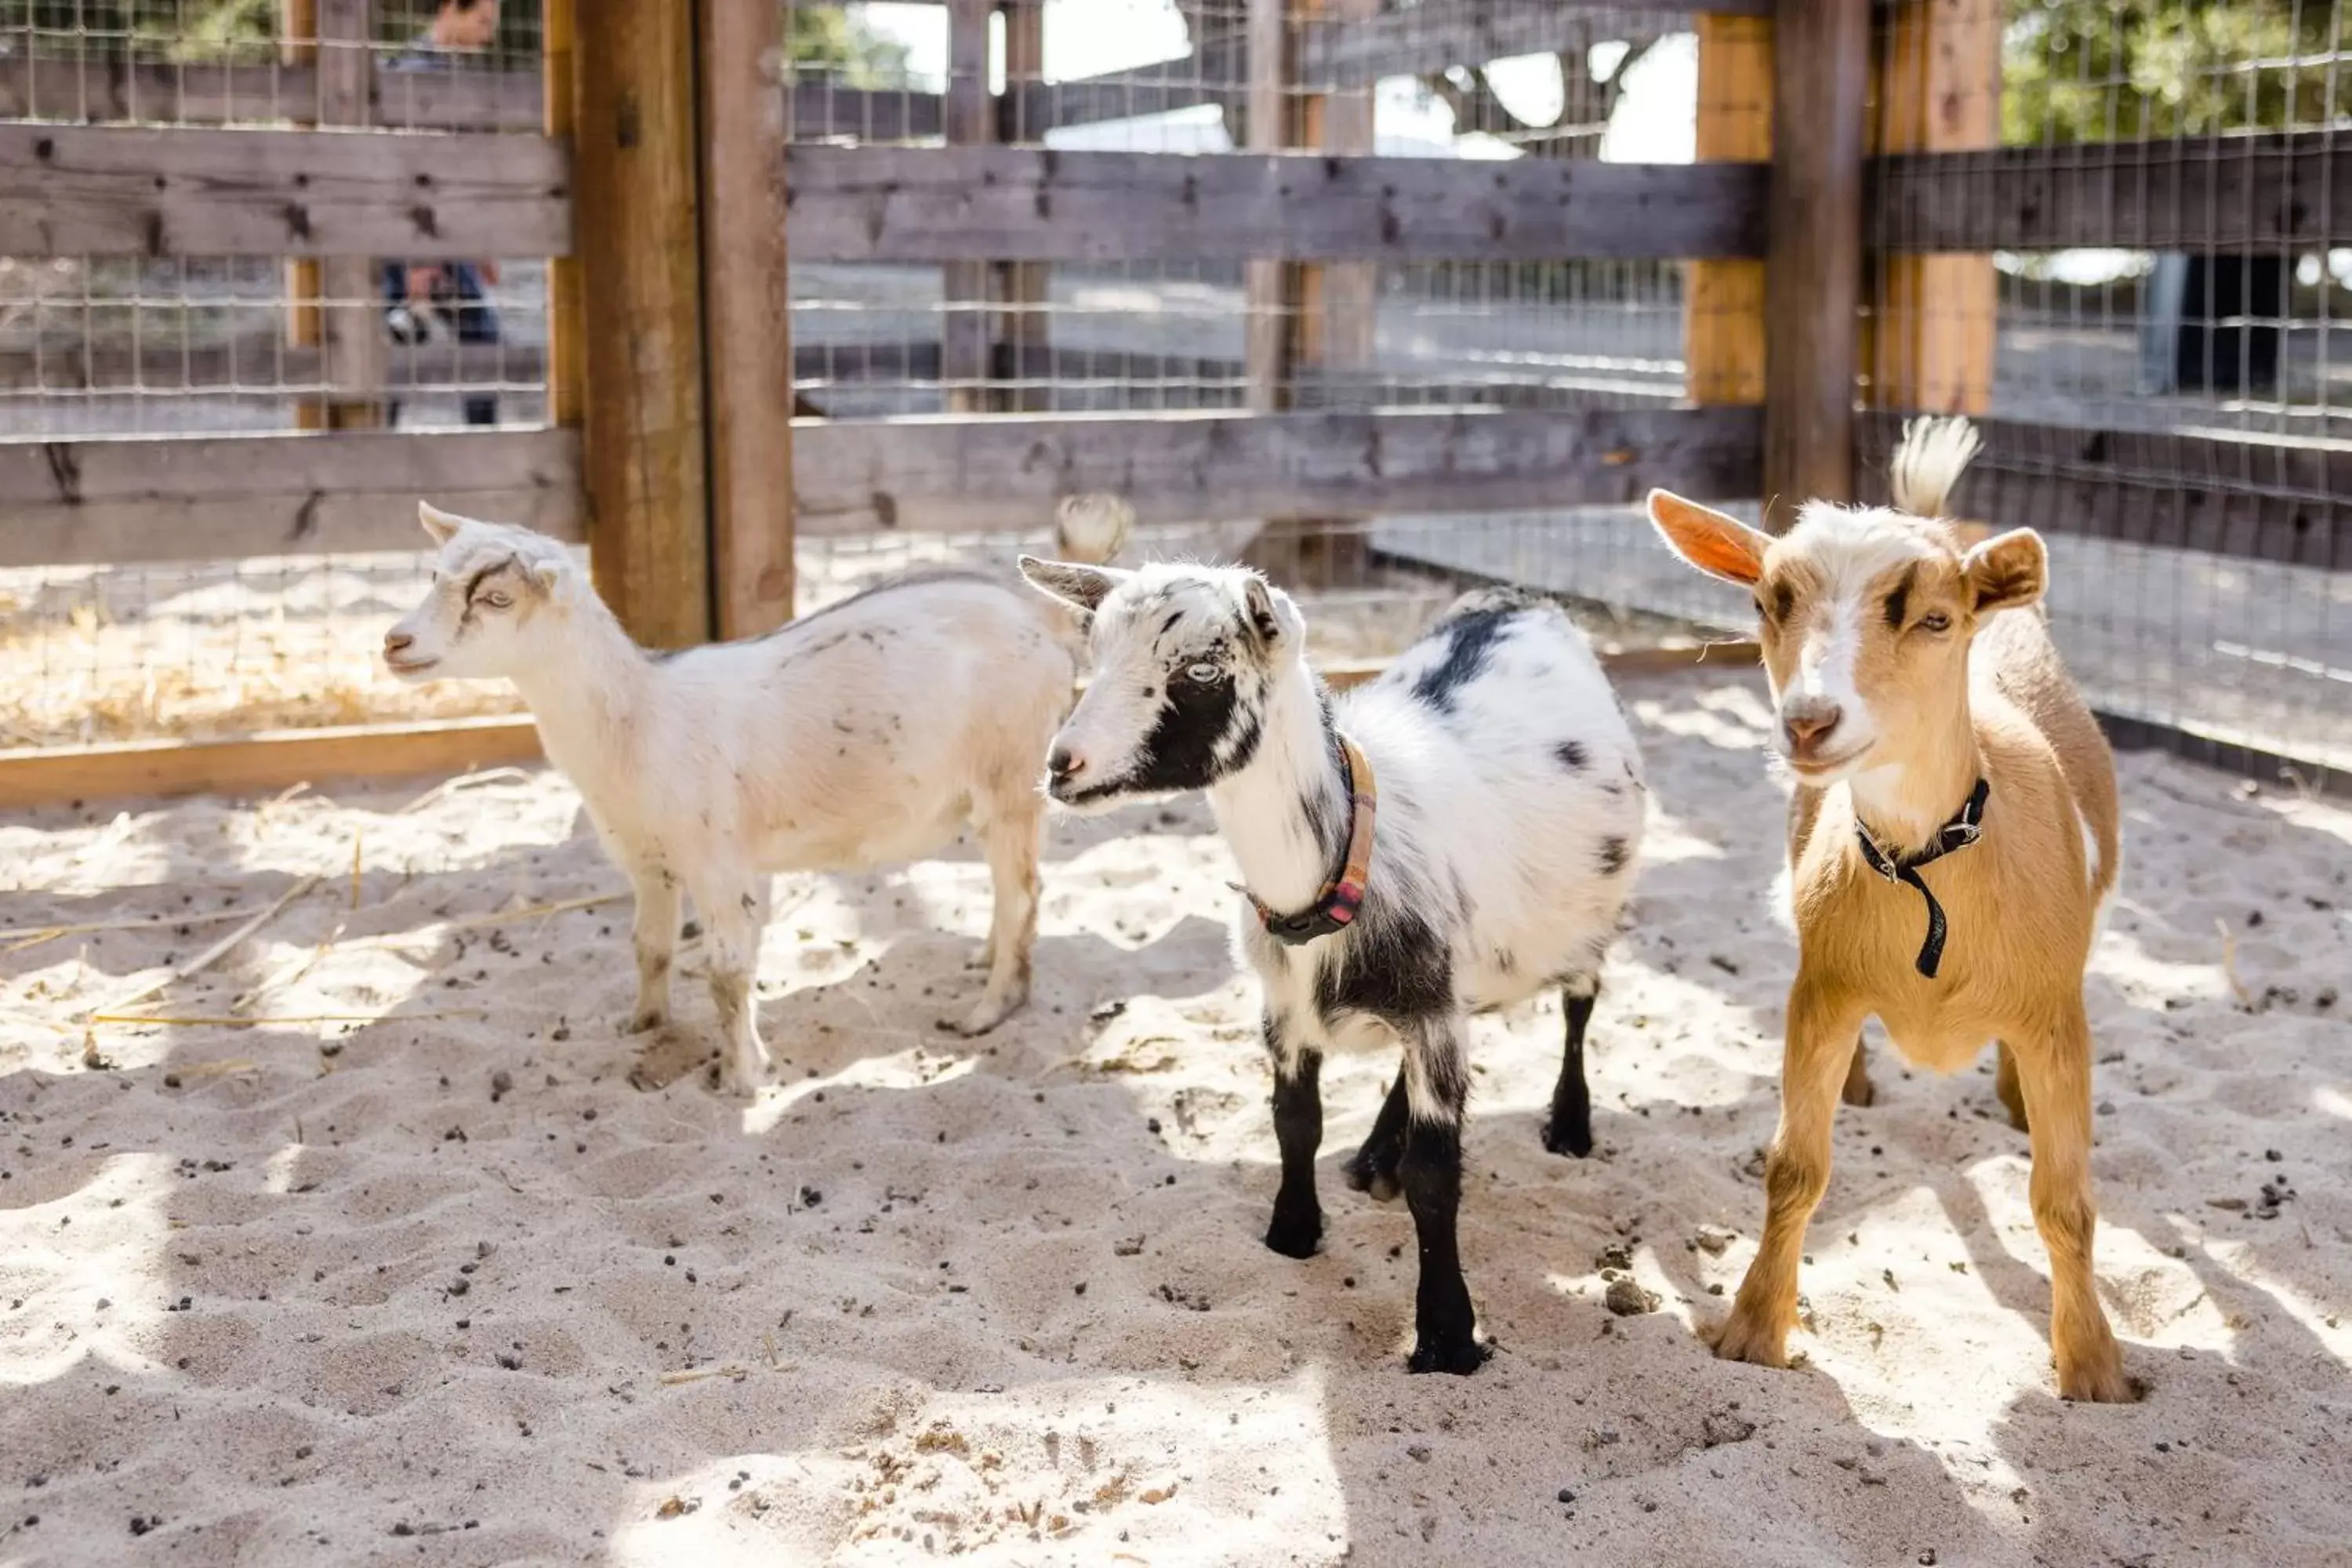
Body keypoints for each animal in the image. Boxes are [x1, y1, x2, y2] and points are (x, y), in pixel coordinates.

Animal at [383, 500, 1129, 1091]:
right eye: (434, 576)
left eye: (496, 600)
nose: (395, 642)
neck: (639, 715)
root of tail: (1041, 614)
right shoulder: (647, 862)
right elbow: (648, 948)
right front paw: (641, 1025)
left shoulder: (719, 865)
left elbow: (726, 973)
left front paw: (742, 1079)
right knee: (1013, 891)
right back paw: (982, 958)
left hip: (1012, 778)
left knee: (1024, 894)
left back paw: (988, 1010)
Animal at [1021, 561, 1646, 1373]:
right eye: (1095, 655)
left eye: (1201, 670)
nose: (1063, 766)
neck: (1339, 864)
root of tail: (1518, 598)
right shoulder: (1286, 1011)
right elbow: (1296, 1124)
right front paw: (1293, 1230)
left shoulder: (1433, 1013)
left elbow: (1436, 1176)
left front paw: (1446, 1336)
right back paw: (1376, 1154)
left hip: (1587, 923)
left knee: (1579, 1007)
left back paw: (1569, 1126)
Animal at [1656, 420, 2136, 1410]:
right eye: (1767, 600)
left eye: (1933, 618)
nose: (1809, 721)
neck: (1927, 865)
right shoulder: (1824, 985)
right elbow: (1794, 1166)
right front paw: (1754, 1332)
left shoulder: (2054, 1009)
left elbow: (2064, 1198)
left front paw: (2094, 1368)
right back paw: (1864, 1082)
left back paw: (2010, 1099)